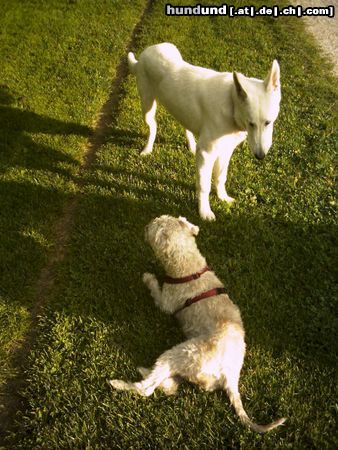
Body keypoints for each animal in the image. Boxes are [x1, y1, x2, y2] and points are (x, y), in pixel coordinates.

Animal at [109, 216, 286, 434]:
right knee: (170, 385)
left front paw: (149, 277)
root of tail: (229, 377)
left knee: (147, 389)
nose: (145, 225)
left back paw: (119, 383)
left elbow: (156, 290)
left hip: (182, 353)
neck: (189, 266)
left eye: (153, 225)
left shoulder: (166, 301)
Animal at [128, 44, 282, 221]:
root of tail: (146, 53)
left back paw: (191, 146)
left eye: (268, 122)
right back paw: (148, 149)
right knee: (153, 127)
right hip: (147, 107)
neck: (231, 103)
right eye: (251, 124)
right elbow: (204, 185)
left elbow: (221, 177)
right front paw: (204, 212)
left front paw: (223, 197)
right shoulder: (207, 154)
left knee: (186, 127)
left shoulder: (226, 150)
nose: (260, 156)